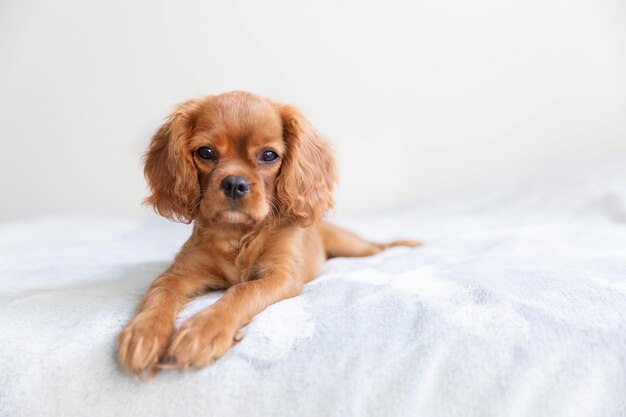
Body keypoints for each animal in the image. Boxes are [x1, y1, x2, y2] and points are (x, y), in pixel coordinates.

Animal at [117, 92, 420, 376]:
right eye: (206, 152)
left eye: (268, 155)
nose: (234, 183)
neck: (238, 233)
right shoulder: (178, 274)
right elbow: (160, 295)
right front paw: (143, 333)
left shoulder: (282, 276)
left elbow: (242, 290)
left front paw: (204, 330)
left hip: (352, 247)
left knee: (377, 247)